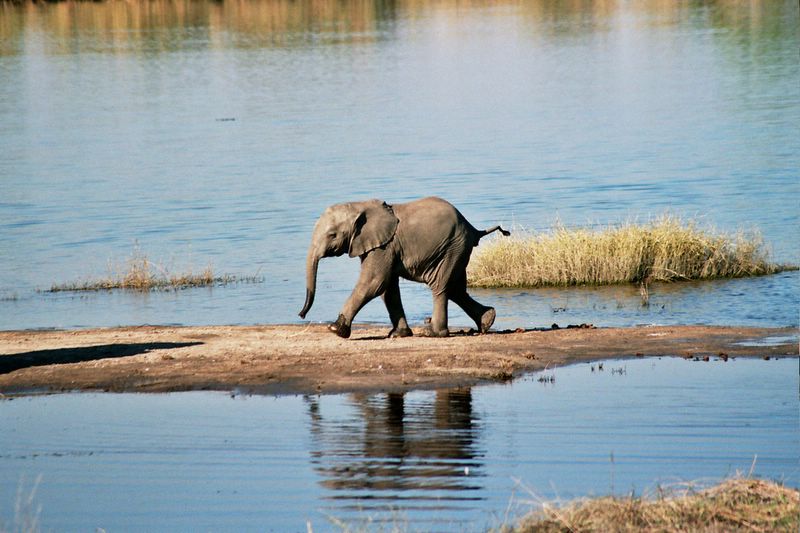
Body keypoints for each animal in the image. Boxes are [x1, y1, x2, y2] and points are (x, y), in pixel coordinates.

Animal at [298, 196, 509, 338]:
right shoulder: (382, 246)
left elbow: (374, 282)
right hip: (456, 249)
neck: (359, 205)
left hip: (452, 247)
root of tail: (473, 228)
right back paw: (487, 321)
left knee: (440, 286)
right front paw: (398, 334)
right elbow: (387, 288)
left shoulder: (384, 246)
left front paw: (335, 329)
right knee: (456, 289)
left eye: (332, 235)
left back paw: (432, 333)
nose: (301, 314)